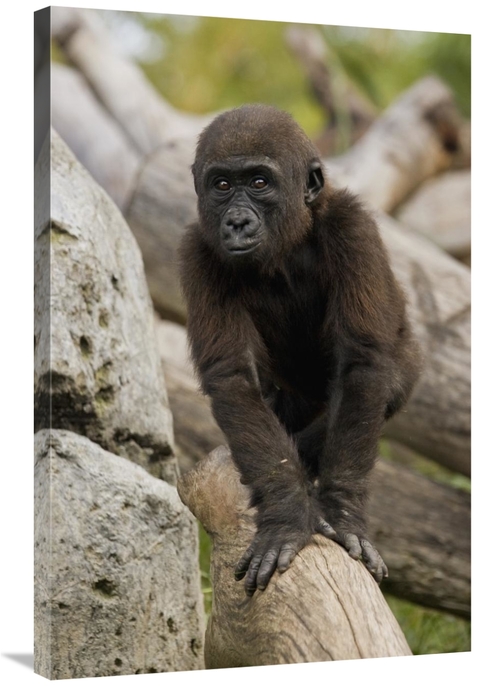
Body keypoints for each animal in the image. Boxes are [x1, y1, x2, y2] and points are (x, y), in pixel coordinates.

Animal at [179, 104, 421, 597]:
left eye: (259, 182)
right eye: (221, 185)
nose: (236, 221)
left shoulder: (353, 227)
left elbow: (364, 365)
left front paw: (341, 513)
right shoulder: (198, 252)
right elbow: (232, 377)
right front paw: (287, 513)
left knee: (388, 382)